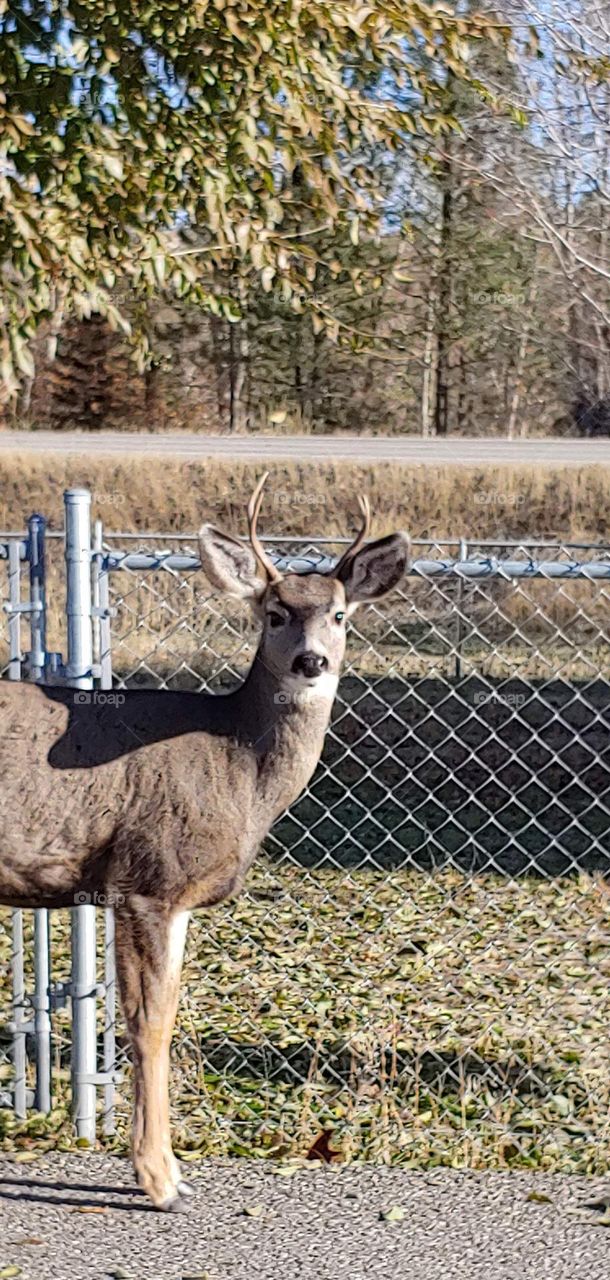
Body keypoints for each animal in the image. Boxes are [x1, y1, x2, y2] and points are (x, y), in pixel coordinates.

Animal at [0, 476, 408, 1212]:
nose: (311, 661)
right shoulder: (146, 879)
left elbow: (165, 1013)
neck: (237, 768)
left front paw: (169, 1169)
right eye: (275, 613)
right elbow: (149, 1023)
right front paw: (160, 1179)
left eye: (339, 615)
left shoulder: (176, 898)